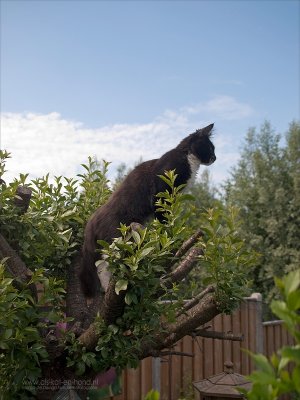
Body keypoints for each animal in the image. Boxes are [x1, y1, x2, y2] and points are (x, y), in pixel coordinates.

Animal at [79, 124, 216, 296]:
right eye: (210, 148)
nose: (215, 157)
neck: (187, 158)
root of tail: (90, 222)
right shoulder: (161, 193)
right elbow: (163, 218)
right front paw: (168, 234)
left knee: (101, 265)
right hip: (115, 236)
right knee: (106, 261)